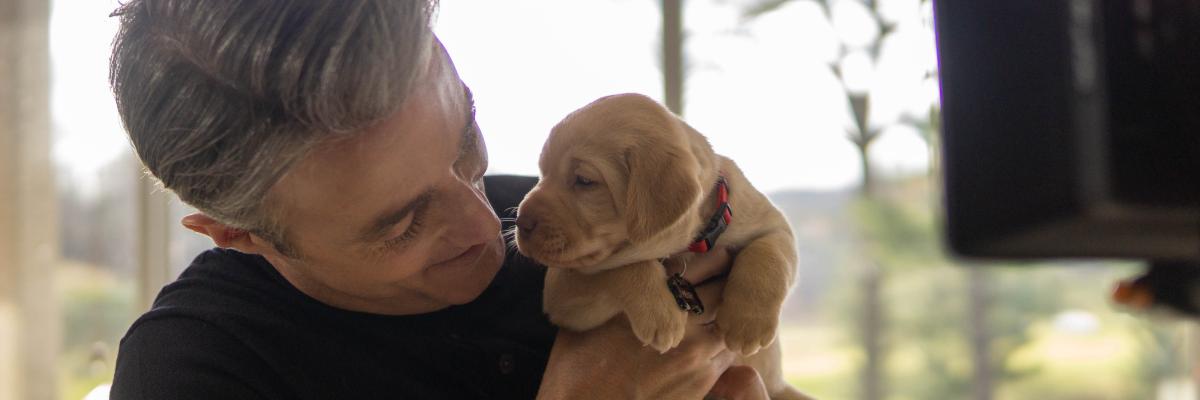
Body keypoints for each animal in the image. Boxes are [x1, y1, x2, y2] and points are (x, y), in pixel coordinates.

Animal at [511, 94, 811, 398]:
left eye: (584, 180)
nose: (520, 222)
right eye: (542, 173)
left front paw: (748, 324)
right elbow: (621, 269)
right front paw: (661, 316)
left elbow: (769, 254)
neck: (687, 246)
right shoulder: (563, 291)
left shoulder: (773, 224)